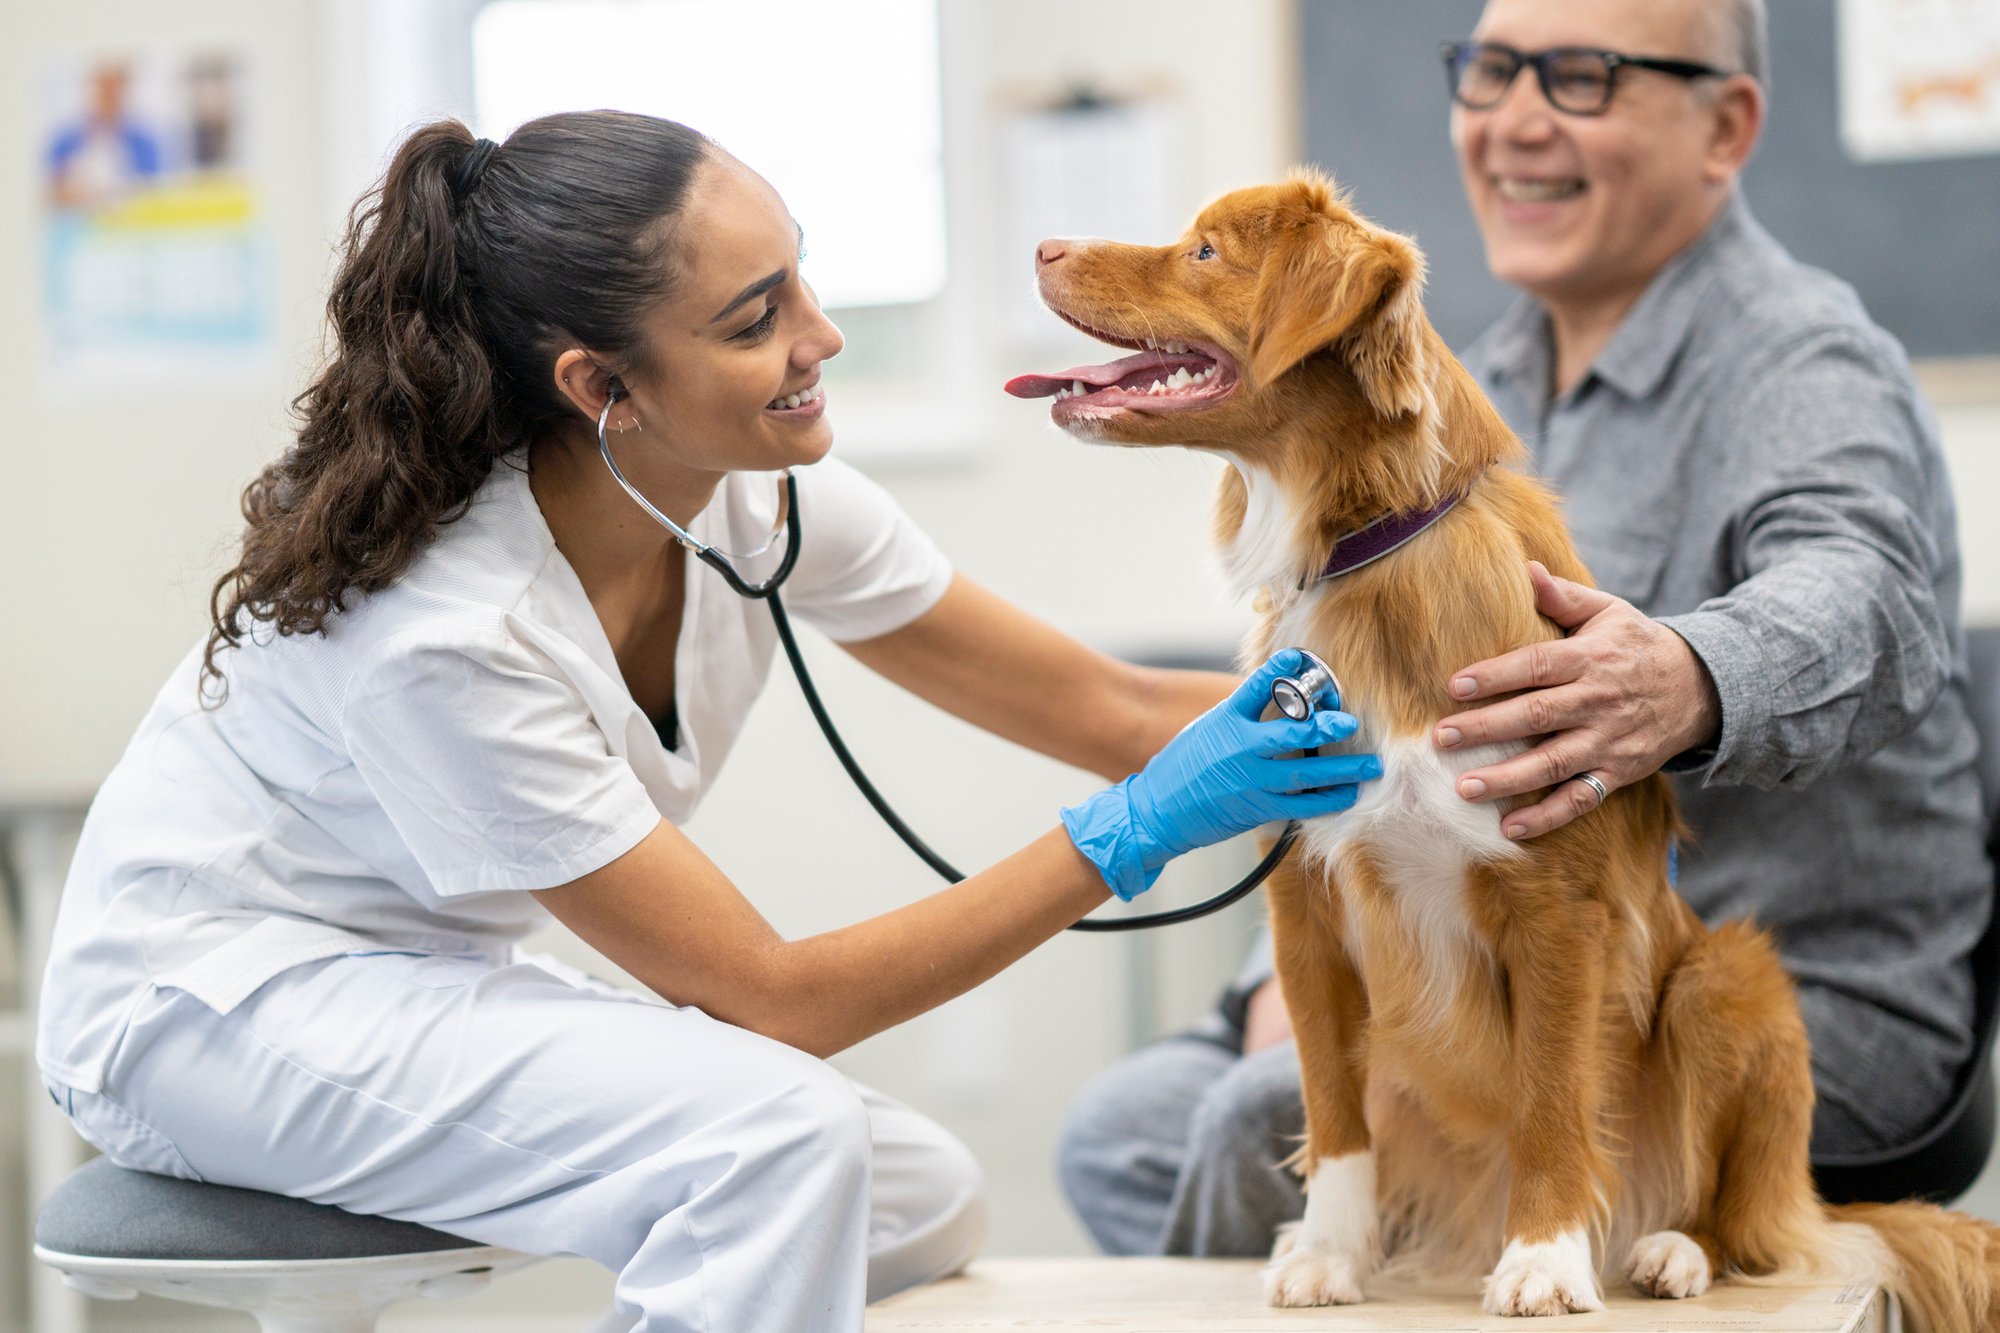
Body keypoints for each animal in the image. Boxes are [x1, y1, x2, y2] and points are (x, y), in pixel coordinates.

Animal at [1008, 171, 2000, 1320]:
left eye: (1205, 252)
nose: (1041, 246)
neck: (1363, 548)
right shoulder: (1305, 907)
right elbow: (1333, 1104)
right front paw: (1329, 1251)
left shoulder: (1555, 908)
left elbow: (1550, 1101)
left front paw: (1544, 1258)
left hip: (1728, 980)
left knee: (1753, 1216)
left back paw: (1671, 1249)